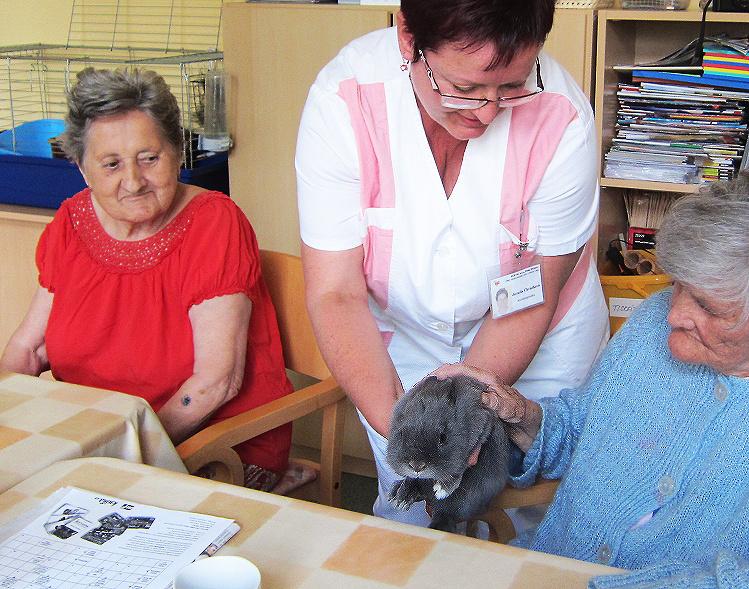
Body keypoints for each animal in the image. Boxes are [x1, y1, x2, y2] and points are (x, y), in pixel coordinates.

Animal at [386, 376, 508, 532]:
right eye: (401, 434)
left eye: (443, 437)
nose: (416, 466)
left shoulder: (483, 426)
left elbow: (459, 467)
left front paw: (442, 489)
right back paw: (400, 496)